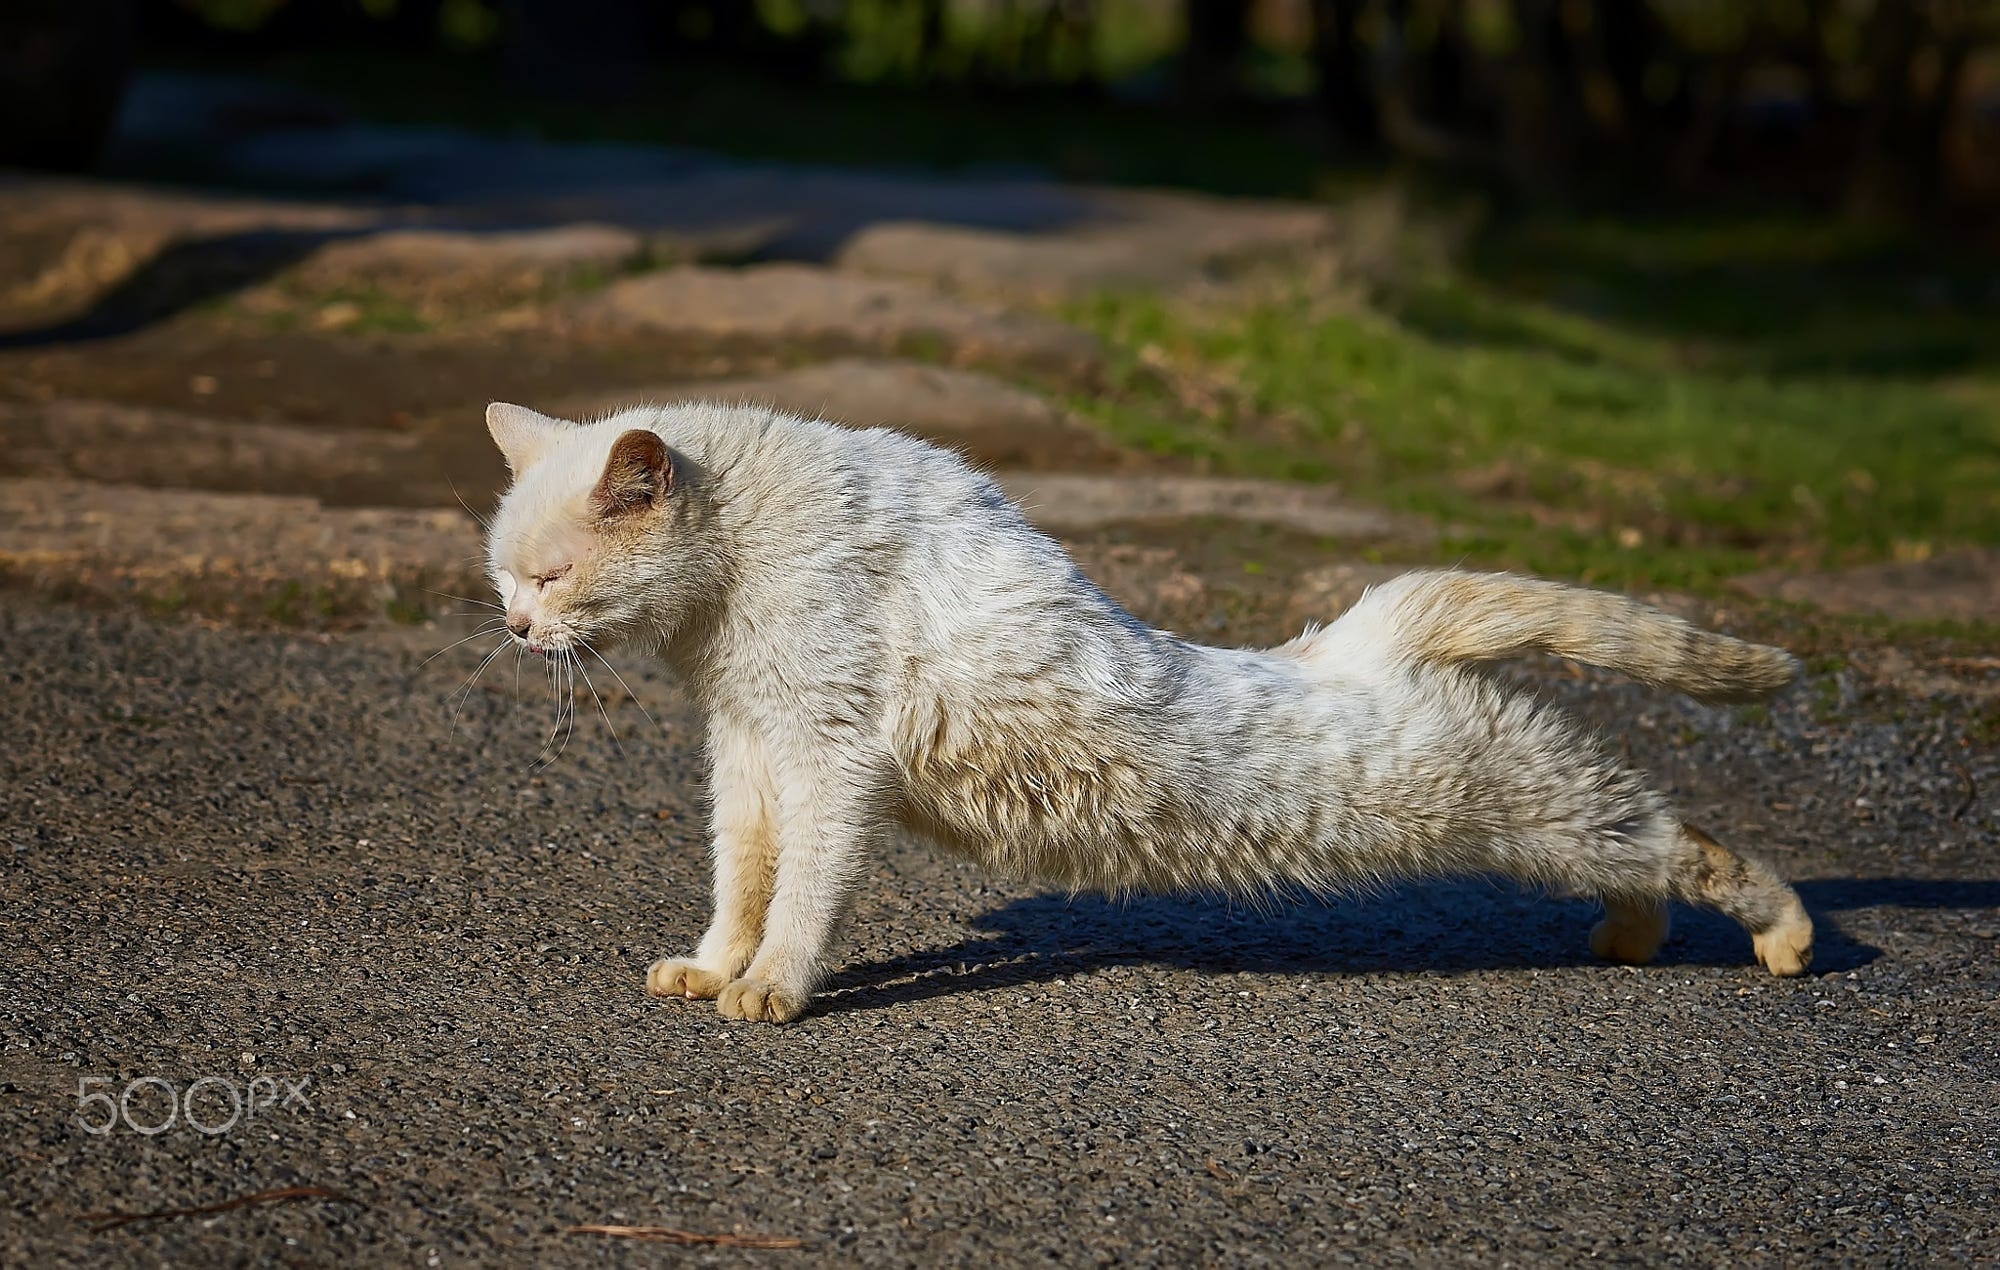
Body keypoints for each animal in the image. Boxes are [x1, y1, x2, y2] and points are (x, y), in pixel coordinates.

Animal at [480, 402, 1816, 1032]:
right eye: (501, 580)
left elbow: (802, 893)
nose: (516, 630)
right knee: (1639, 846)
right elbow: (740, 876)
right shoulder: (747, 750)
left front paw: (771, 987)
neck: (737, 574)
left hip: (1522, 798)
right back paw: (1629, 937)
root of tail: (1363, 631)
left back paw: (1780, 930)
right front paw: (716, 965)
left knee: (1680, 836)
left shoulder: (829, 757)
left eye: (548, 576)